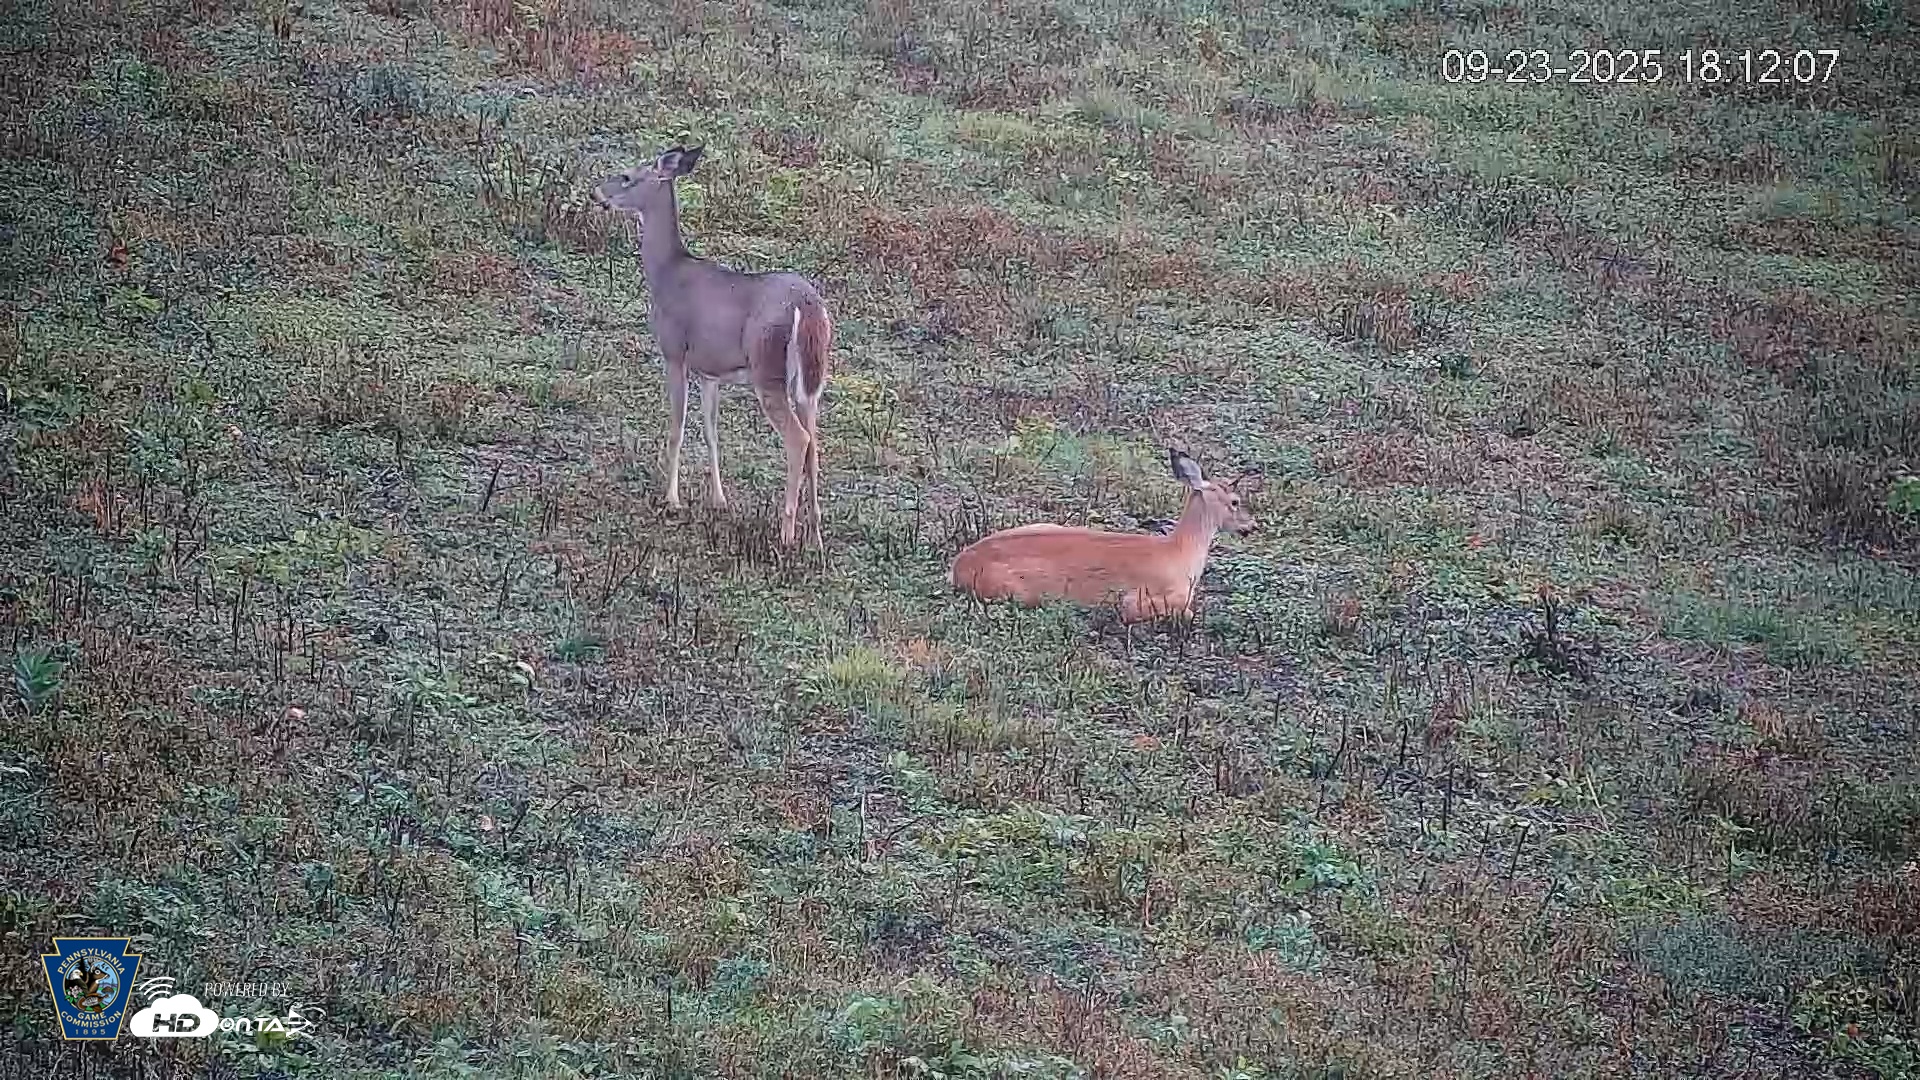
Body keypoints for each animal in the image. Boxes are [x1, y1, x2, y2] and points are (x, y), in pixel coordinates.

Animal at [590, 145, 832, 549]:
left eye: (626, 176)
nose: (596, 193)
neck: (666, 274)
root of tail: (807, 306)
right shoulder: (710, 371)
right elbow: (711, 430)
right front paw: (718, 499)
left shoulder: (675, 353)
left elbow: (677, 426)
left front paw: (671, 499)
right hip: (811, 380)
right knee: (815, 440)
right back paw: (814, 535)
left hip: (767, 369)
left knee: (798, 439)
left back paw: (786, 533)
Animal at [950, 448, 1262, 624]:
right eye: (1235, 501)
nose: (1252, 525)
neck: (1179, 553)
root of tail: (958, 568)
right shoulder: (1138, 598)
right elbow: (1183, 611)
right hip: (1019, 592)